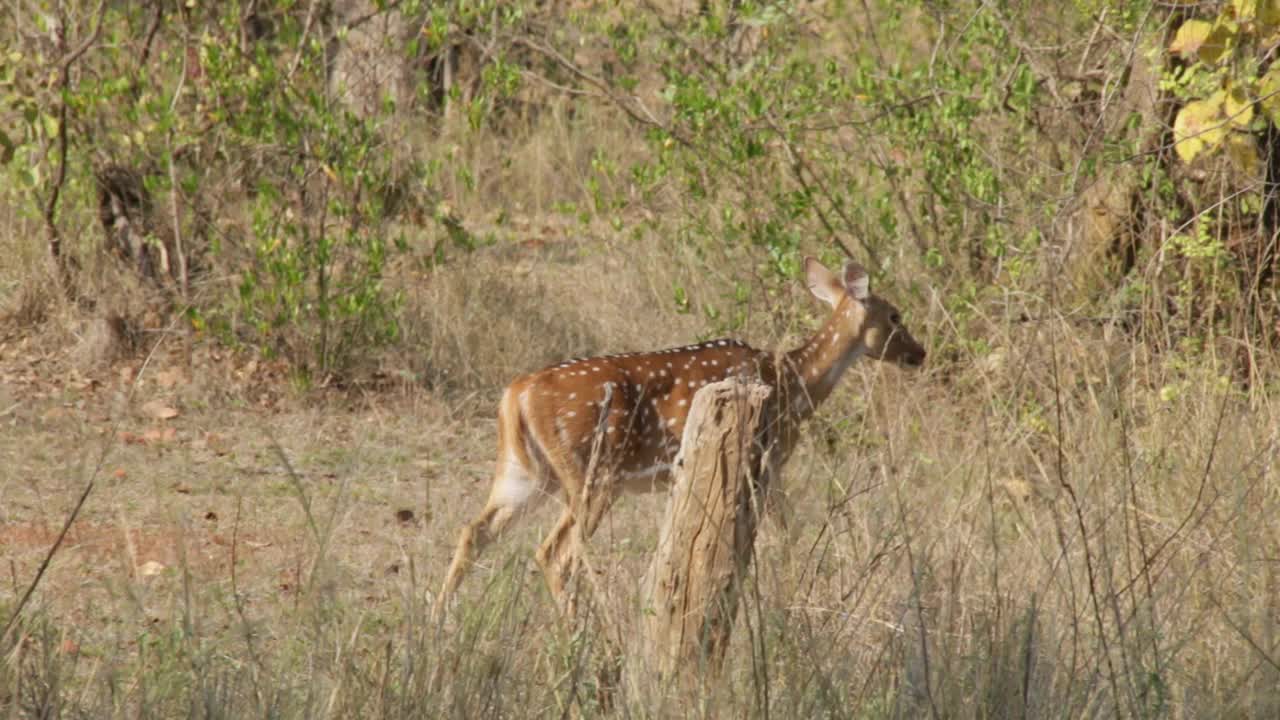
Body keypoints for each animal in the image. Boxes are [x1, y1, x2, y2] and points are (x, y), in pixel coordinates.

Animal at [435, 256, 926, 609]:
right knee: (555, 554)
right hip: (591, 473)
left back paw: (440, 618)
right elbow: (781, 533)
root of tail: (517, 393)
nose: (919, 353)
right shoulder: (763, 458)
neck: (792, 381)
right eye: (895, 315)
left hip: (526, 473)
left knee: (475, 531)